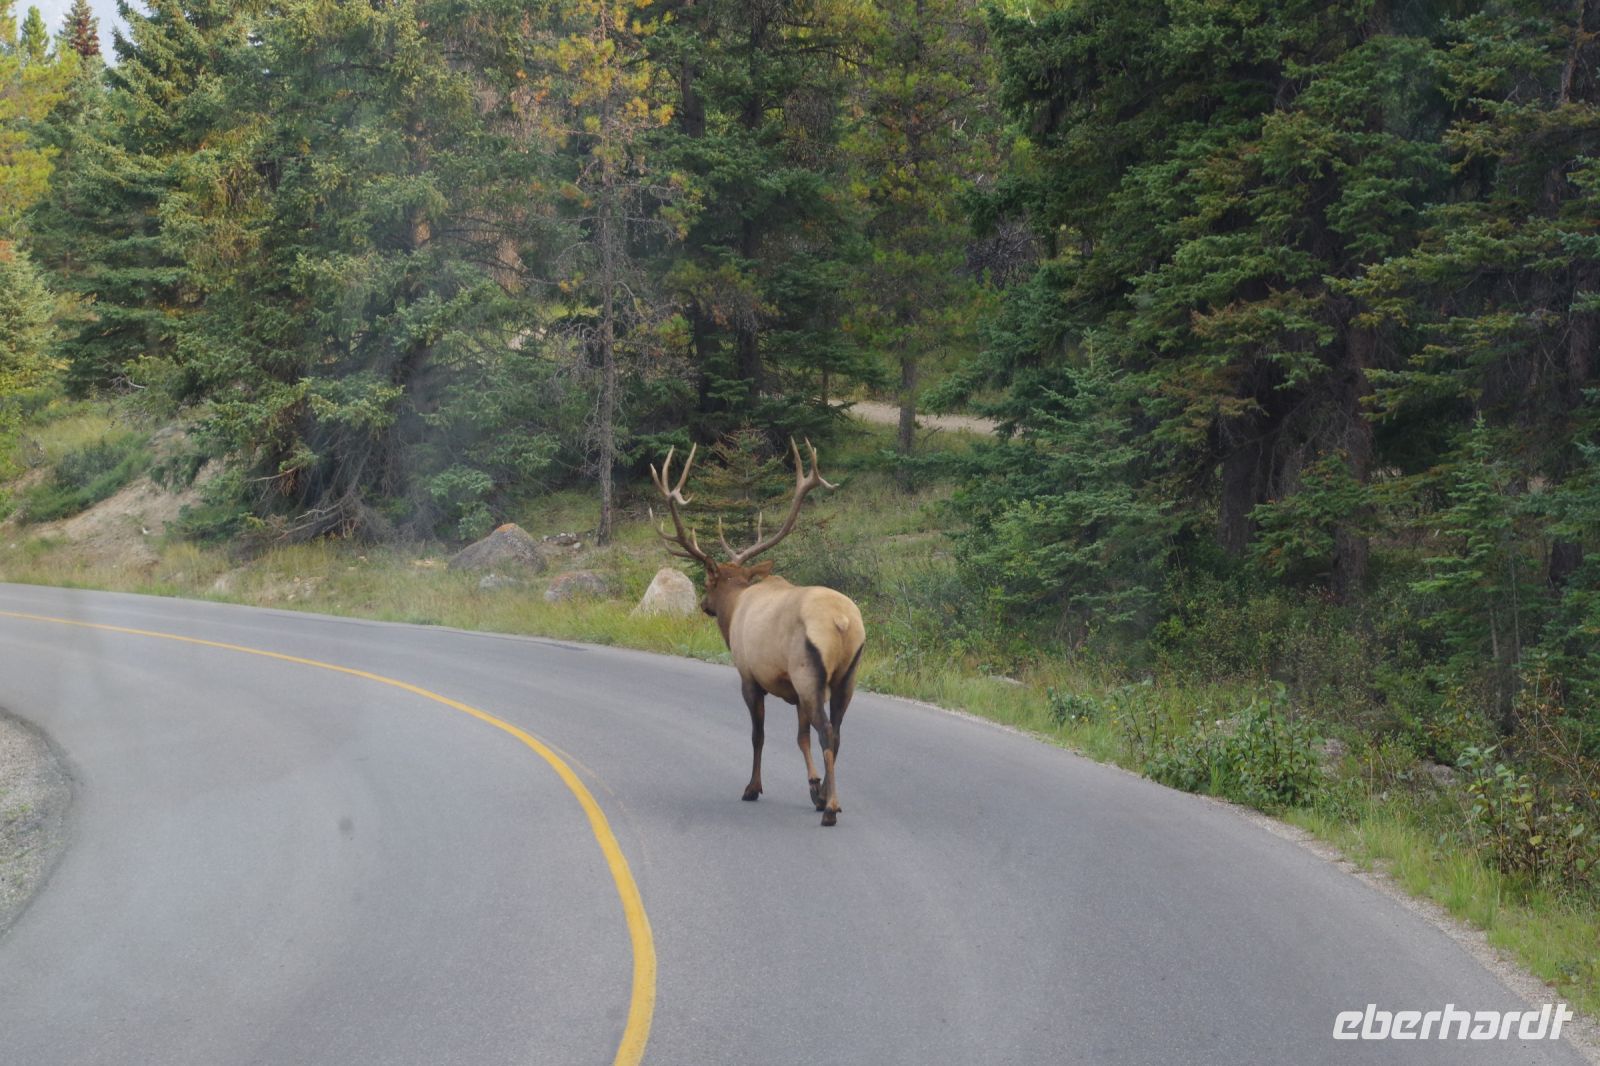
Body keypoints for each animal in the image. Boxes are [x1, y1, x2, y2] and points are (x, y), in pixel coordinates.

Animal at [650, 439, 866, 826]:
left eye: (709, 582)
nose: (703, 604)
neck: (735, 607)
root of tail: (842, 622)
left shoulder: (750, 676)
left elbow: (758, 736)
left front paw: (753, 788)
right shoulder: (793, 690)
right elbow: (800, 738)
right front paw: (813, 788)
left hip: (808, 670)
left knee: (827, 731)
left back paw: (831, 809)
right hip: (847, 675)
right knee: (837, 732)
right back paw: (830, 798)